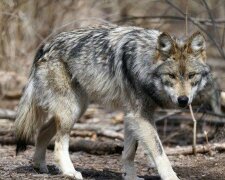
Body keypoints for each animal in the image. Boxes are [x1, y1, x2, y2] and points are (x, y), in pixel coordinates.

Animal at [14, 25, 212, 180]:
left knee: (42, 131)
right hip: (71, 111)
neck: (144, 62)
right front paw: (171, 177)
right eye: (171, 76)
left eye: (191, 75)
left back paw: (40, 167)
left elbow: (129, 152)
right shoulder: (139, 115)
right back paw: (70, 172)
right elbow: (159, 152)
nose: (183, 100)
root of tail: (46, 45)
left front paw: (130, 177)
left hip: (77, 109)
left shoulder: (133, 115)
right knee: (58, 145)